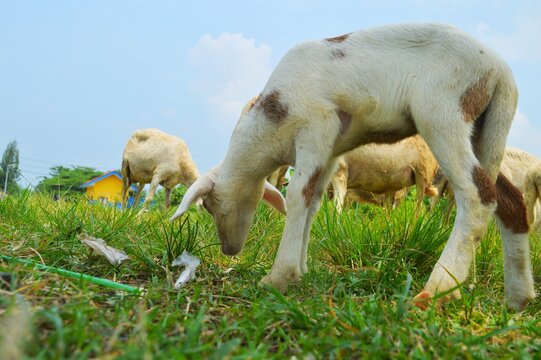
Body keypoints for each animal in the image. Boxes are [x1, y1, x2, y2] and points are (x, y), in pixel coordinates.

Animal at [172, 23, 532, 310]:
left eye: (208, 205)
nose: (229, 250)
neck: (269, 127)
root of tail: (501, 72)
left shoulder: (317, 127)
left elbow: (298, 198)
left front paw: (278, 278)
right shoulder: (332, 152)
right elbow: (314, 203)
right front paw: (300, 271)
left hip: (443, 112)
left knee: (478, 195)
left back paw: (437, 290)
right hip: (483, 130)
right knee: (511, 201)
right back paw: (518, 297)